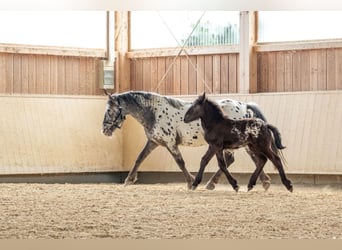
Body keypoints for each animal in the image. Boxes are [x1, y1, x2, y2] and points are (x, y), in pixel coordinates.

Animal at [102, 91, 272, 190]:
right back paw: (262, 182)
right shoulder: (154, 142)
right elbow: (139, 158)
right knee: (253, 159)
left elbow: (180, 162)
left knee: (241, 159)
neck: (154, 112)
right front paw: (129, 179)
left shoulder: (170, 143)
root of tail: (244, 105)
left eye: (110, 110)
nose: (104, 130)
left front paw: (191, 182)